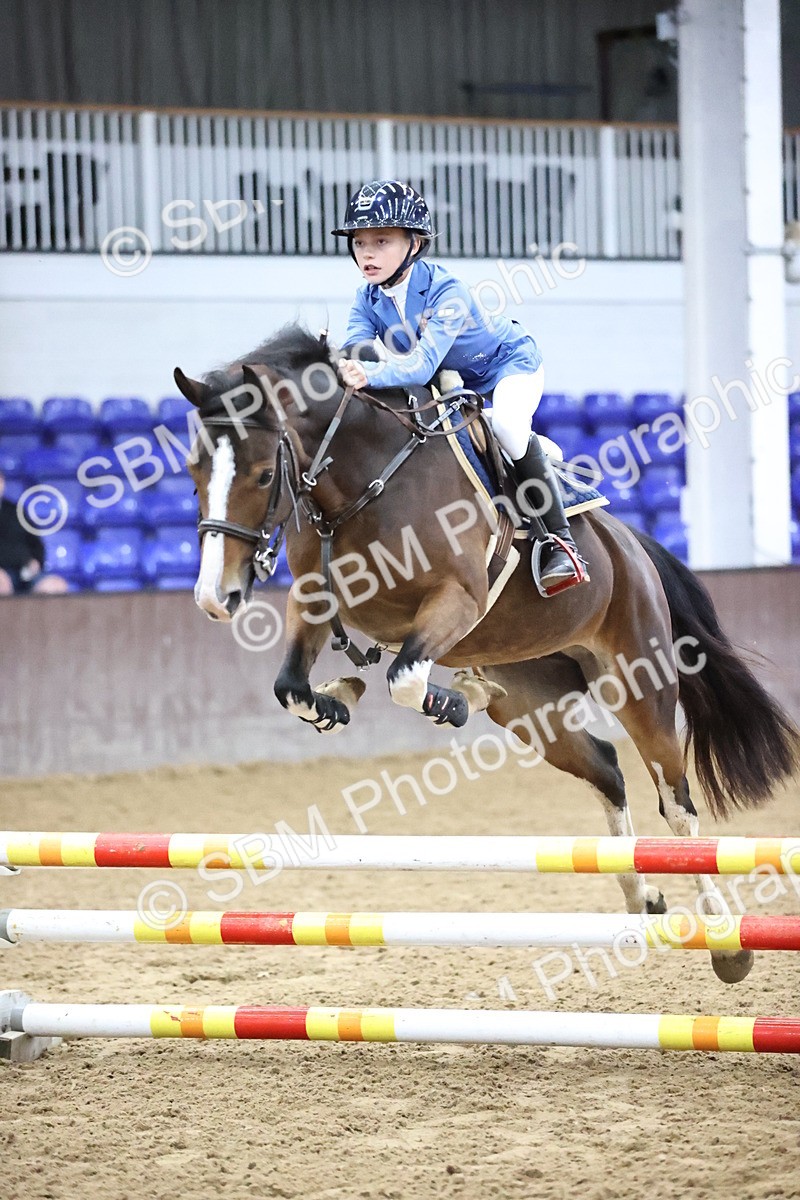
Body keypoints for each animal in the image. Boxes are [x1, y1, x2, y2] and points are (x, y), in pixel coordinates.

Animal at [174, 324, 799, 985]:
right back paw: (641, 897)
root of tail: (632, 545)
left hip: (640, 681)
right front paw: (339, 700)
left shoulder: (457, 597)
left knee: (677, 806)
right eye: (193, 471)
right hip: (533, 705)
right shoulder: (315, 598)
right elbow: (292, 686)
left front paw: (444, 702)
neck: (365, 481)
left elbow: (403, 675)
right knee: (606, 769)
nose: (216, 597)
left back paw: (727, 943)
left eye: (262, 475)